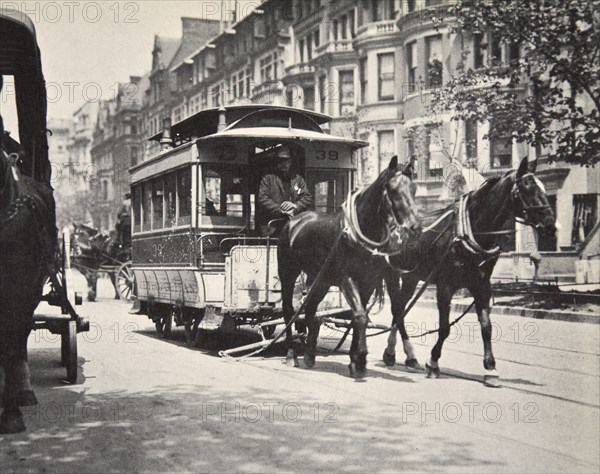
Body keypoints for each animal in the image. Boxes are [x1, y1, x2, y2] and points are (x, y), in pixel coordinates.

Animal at [278, 157, 422, 380]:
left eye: (414, 189)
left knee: (310, 309)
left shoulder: (368, 282)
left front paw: (355, 360)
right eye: (393, 190)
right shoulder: (348, 280)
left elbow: (359, 316)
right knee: (289, 310)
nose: (415, 227)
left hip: (320, 279)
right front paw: (360, 358)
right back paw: (292, 354)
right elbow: (361, 316)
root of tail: (293, 221)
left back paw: (309, 354)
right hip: (288, 273)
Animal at [382, 157, 556, 386]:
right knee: (397, 309)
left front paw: (491, 369)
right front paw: (433, 362)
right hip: (392, 275)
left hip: (411, 277)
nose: (551, 225)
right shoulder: (445, 287)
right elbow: (445, 328)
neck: (470, 231)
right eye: (527, 187)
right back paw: (395, 353)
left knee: (400, 308)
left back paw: (406, 357)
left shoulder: (481, 285)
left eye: (542, 187)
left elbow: (486, 327)